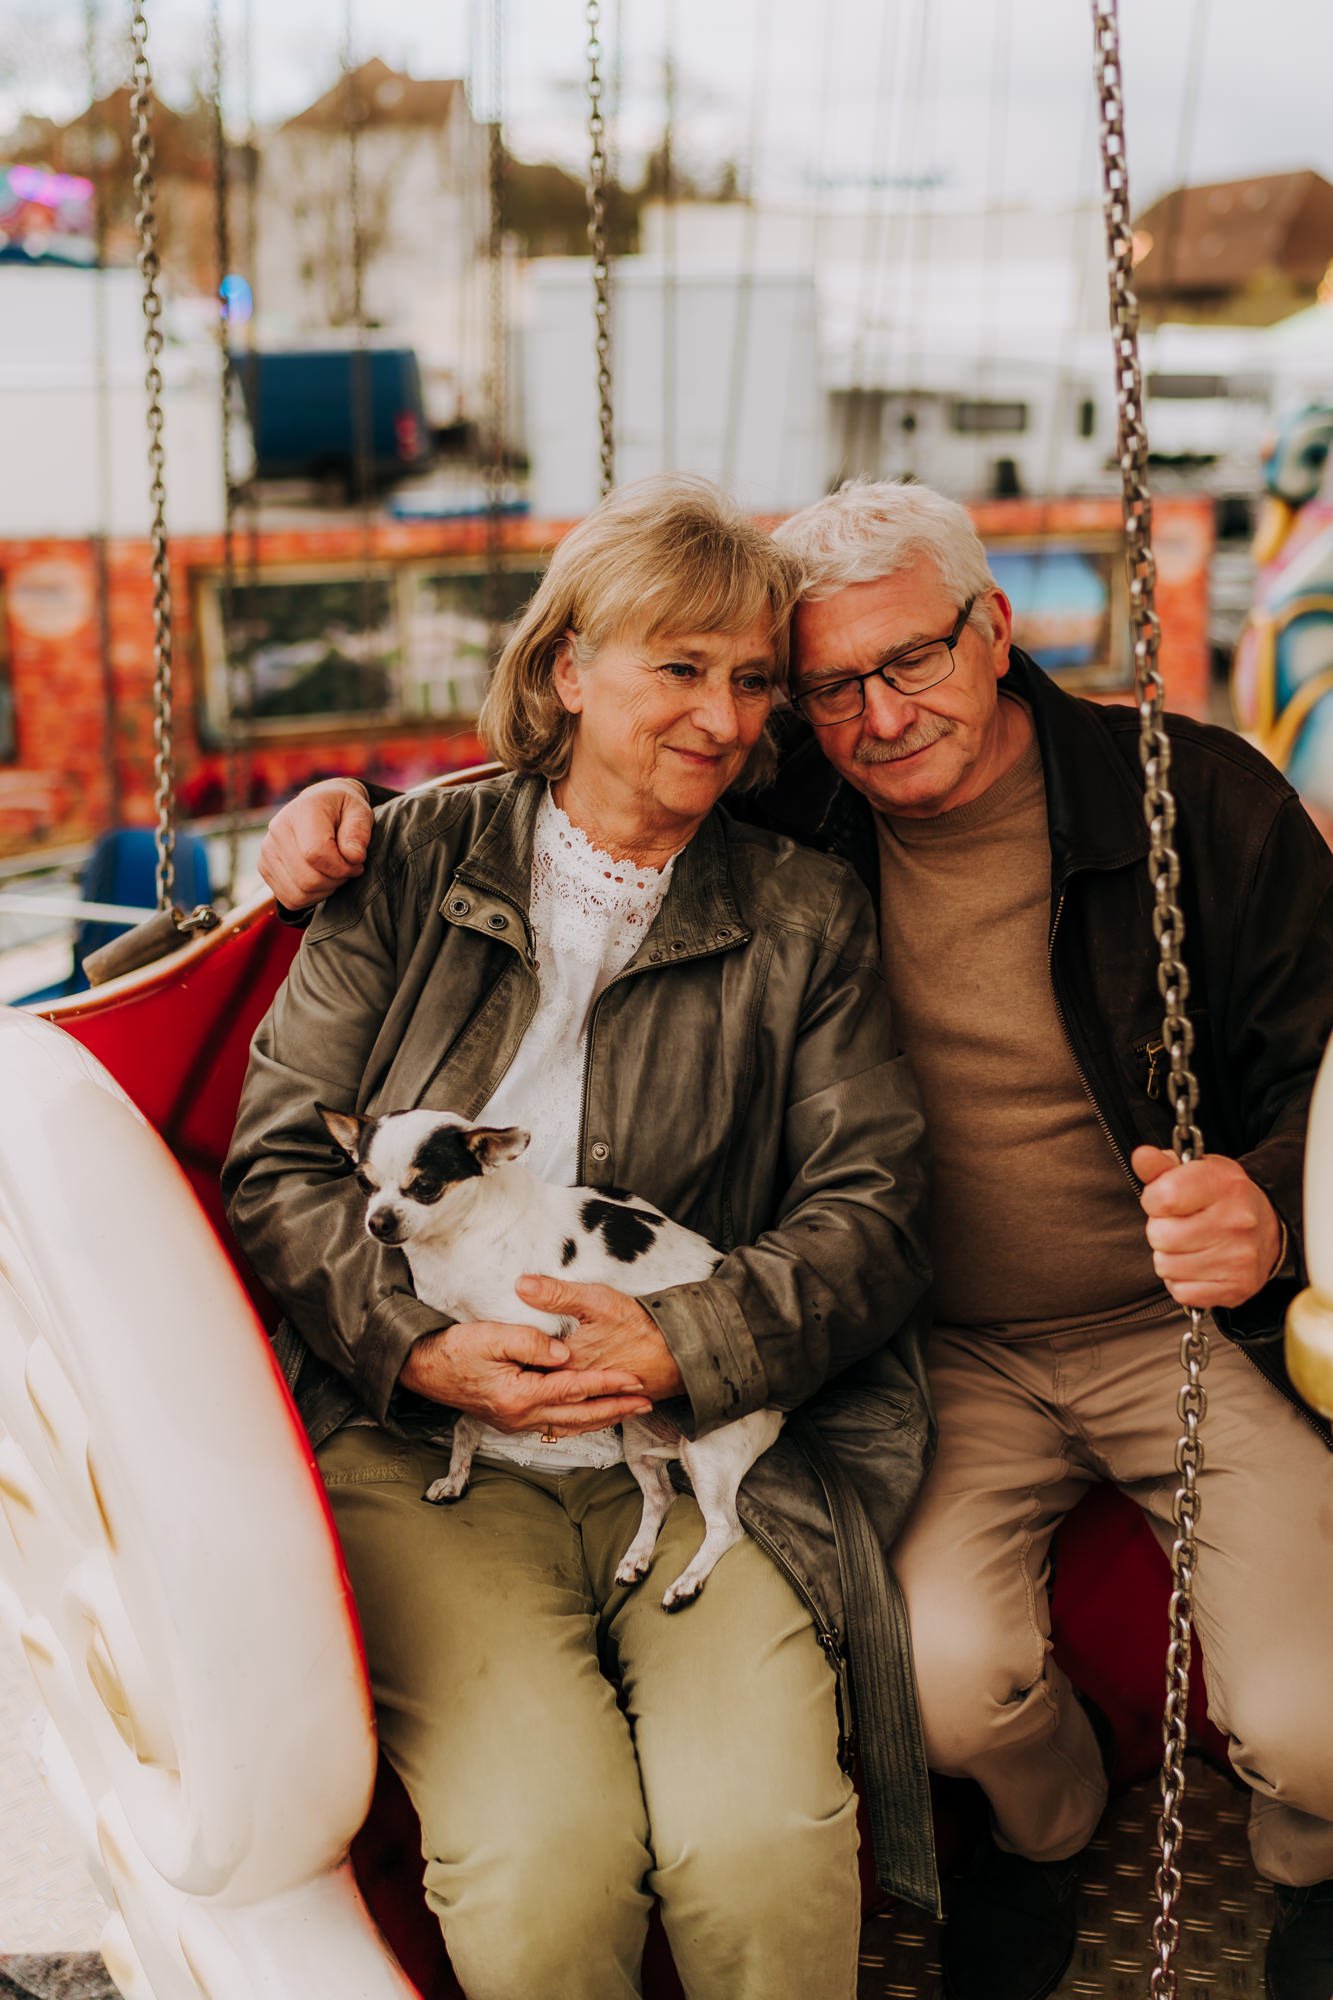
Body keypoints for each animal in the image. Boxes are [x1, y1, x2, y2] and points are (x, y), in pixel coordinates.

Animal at [318, 1104, 784, 1616]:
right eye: (364, 1183)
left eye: (425, 1187)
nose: (378, 1222)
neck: (458, 1240)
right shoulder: (478, 1354)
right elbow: (467, 1421)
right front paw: (456, 1476)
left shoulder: (530, 1334)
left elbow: (477, 1417)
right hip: (639, 1443)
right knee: (660, 1496)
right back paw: (637, 1557)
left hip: (710, 1453)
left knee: (726, 1527)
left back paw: (687, 1582)